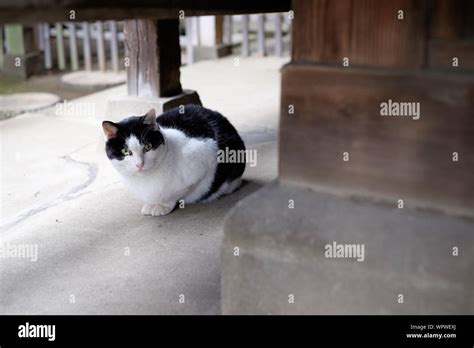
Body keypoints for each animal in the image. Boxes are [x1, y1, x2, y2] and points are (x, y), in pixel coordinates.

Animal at [102, 104, 246, 216]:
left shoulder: (206, 157)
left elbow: (177, 192)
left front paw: (162, 206)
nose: (140, 164)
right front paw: (151, 204)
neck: (145, 180)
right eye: (125, 152)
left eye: (147, 146)